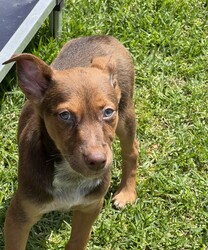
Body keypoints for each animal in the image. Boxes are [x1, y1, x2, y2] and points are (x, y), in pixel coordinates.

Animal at [2, 35, 138, 250]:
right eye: (65, 115)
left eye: (108, 112)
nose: (98, 161)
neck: (70, 176)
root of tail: (103, 36)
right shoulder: (20, 215)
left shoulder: (91, 206)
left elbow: (78, 240)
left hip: (125, 116)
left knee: (132, 151)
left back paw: (126, 192)